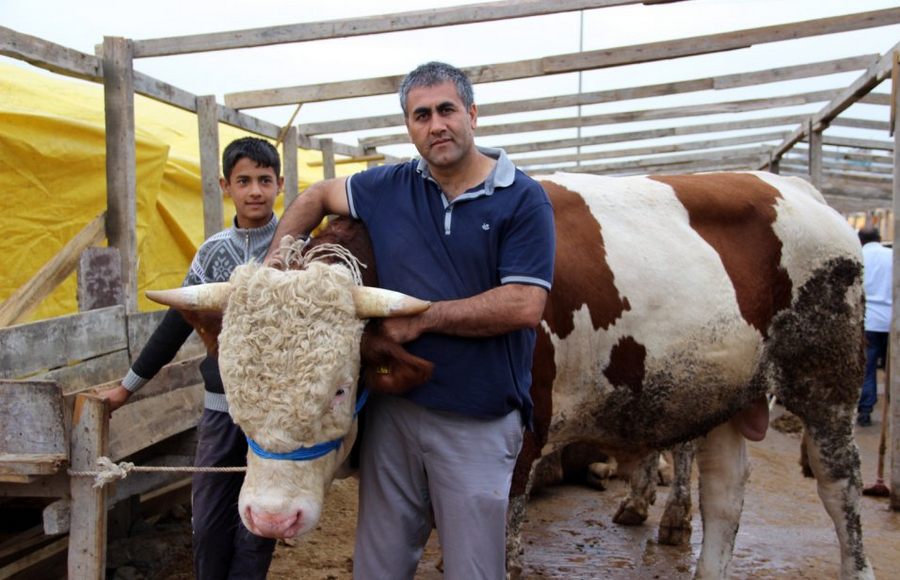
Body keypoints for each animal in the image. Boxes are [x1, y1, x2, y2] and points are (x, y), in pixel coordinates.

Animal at [149, 170, 872, 576]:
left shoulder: (521, 443)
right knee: (725, 501)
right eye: (233, 390)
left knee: (839, 494)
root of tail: (796, 190)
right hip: (722, 393)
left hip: (828, 382)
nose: (269, 520)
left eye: (338, 388)